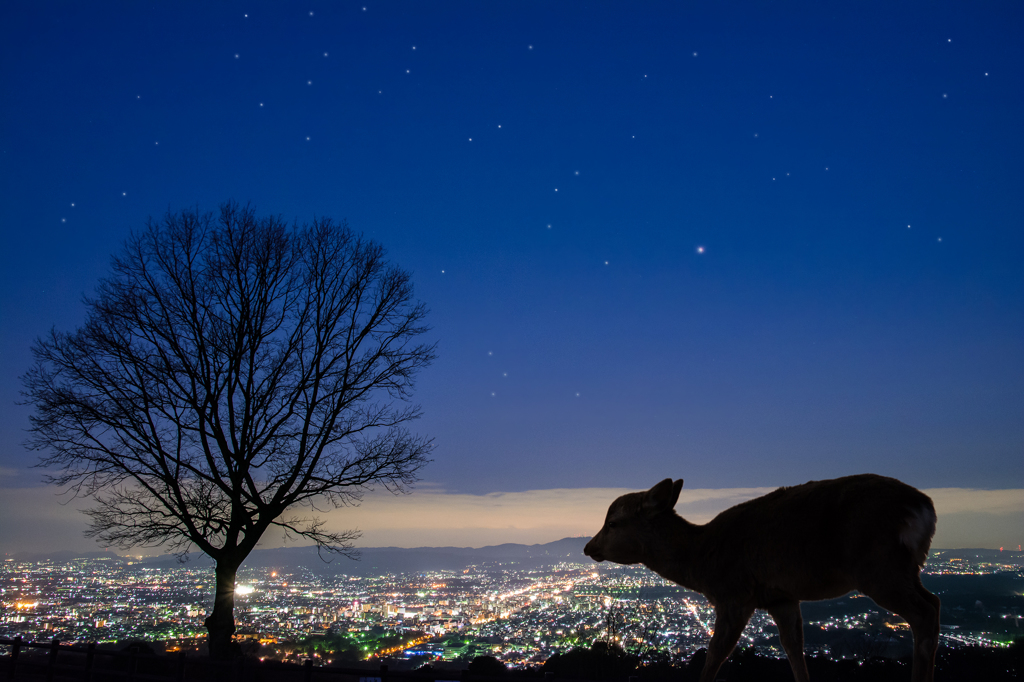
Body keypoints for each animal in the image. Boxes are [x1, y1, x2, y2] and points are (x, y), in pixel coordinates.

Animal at [581, 473, 937, 679]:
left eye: (612, 523)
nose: (588, 546)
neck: (702, 561)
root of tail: (924, 507)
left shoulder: (734, 595)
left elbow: (715, 655)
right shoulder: (781, 597)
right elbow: (793, 647)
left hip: (877, 567)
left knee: (925, 610)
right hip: (907, 567)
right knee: (932, 601)